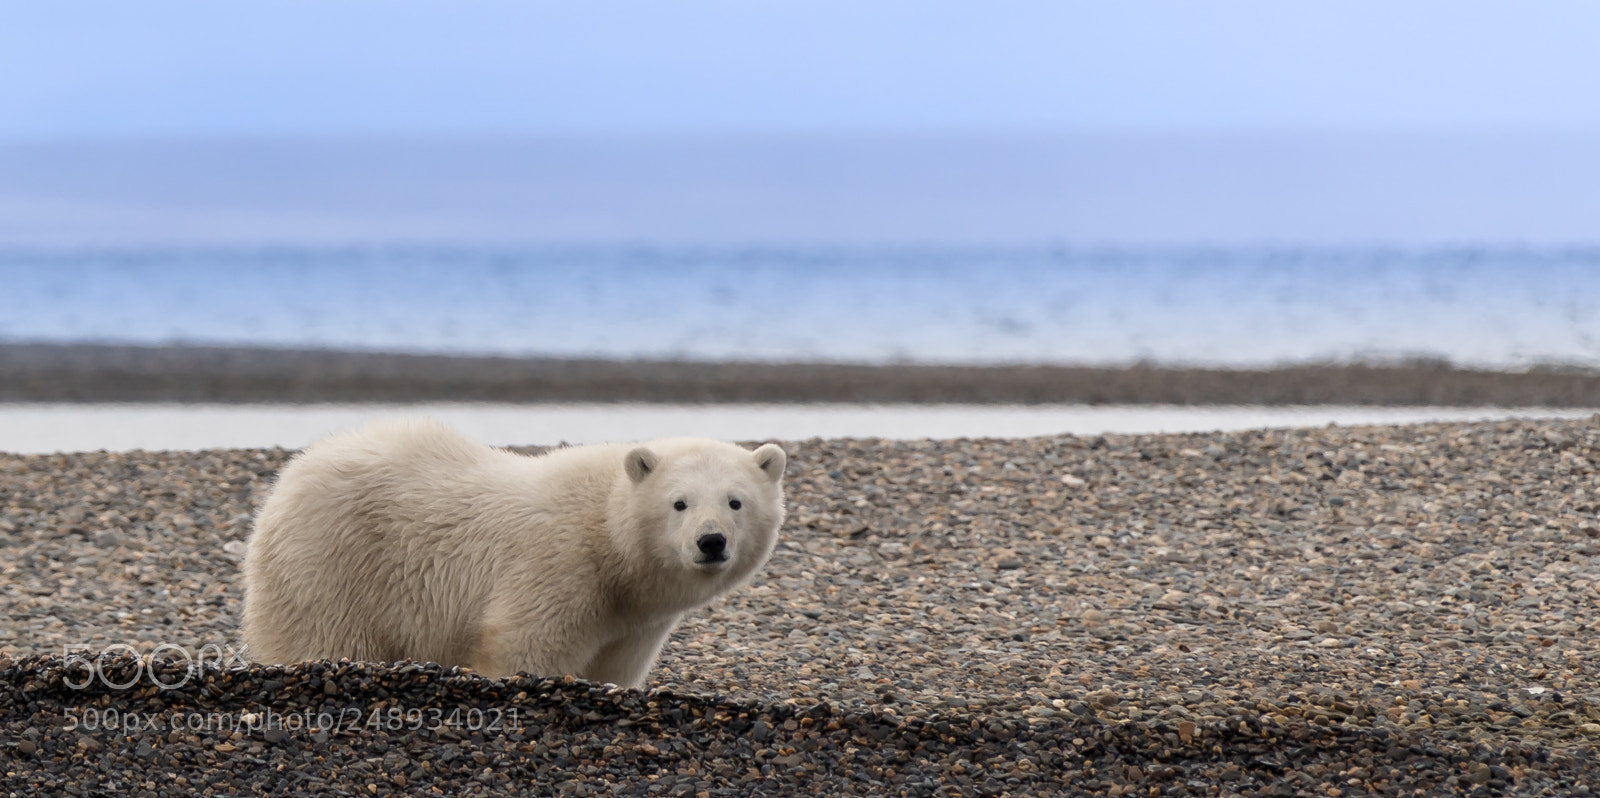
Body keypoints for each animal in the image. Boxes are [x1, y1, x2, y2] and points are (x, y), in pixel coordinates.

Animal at [239, 417, 786, 688]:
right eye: (679, 502)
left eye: (735, 501)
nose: (710, 541)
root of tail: (285, 483)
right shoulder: (557, 566)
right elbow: (523, 646)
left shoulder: (634, 623)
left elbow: (614, 668)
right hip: (333, 561)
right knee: (323, 634)